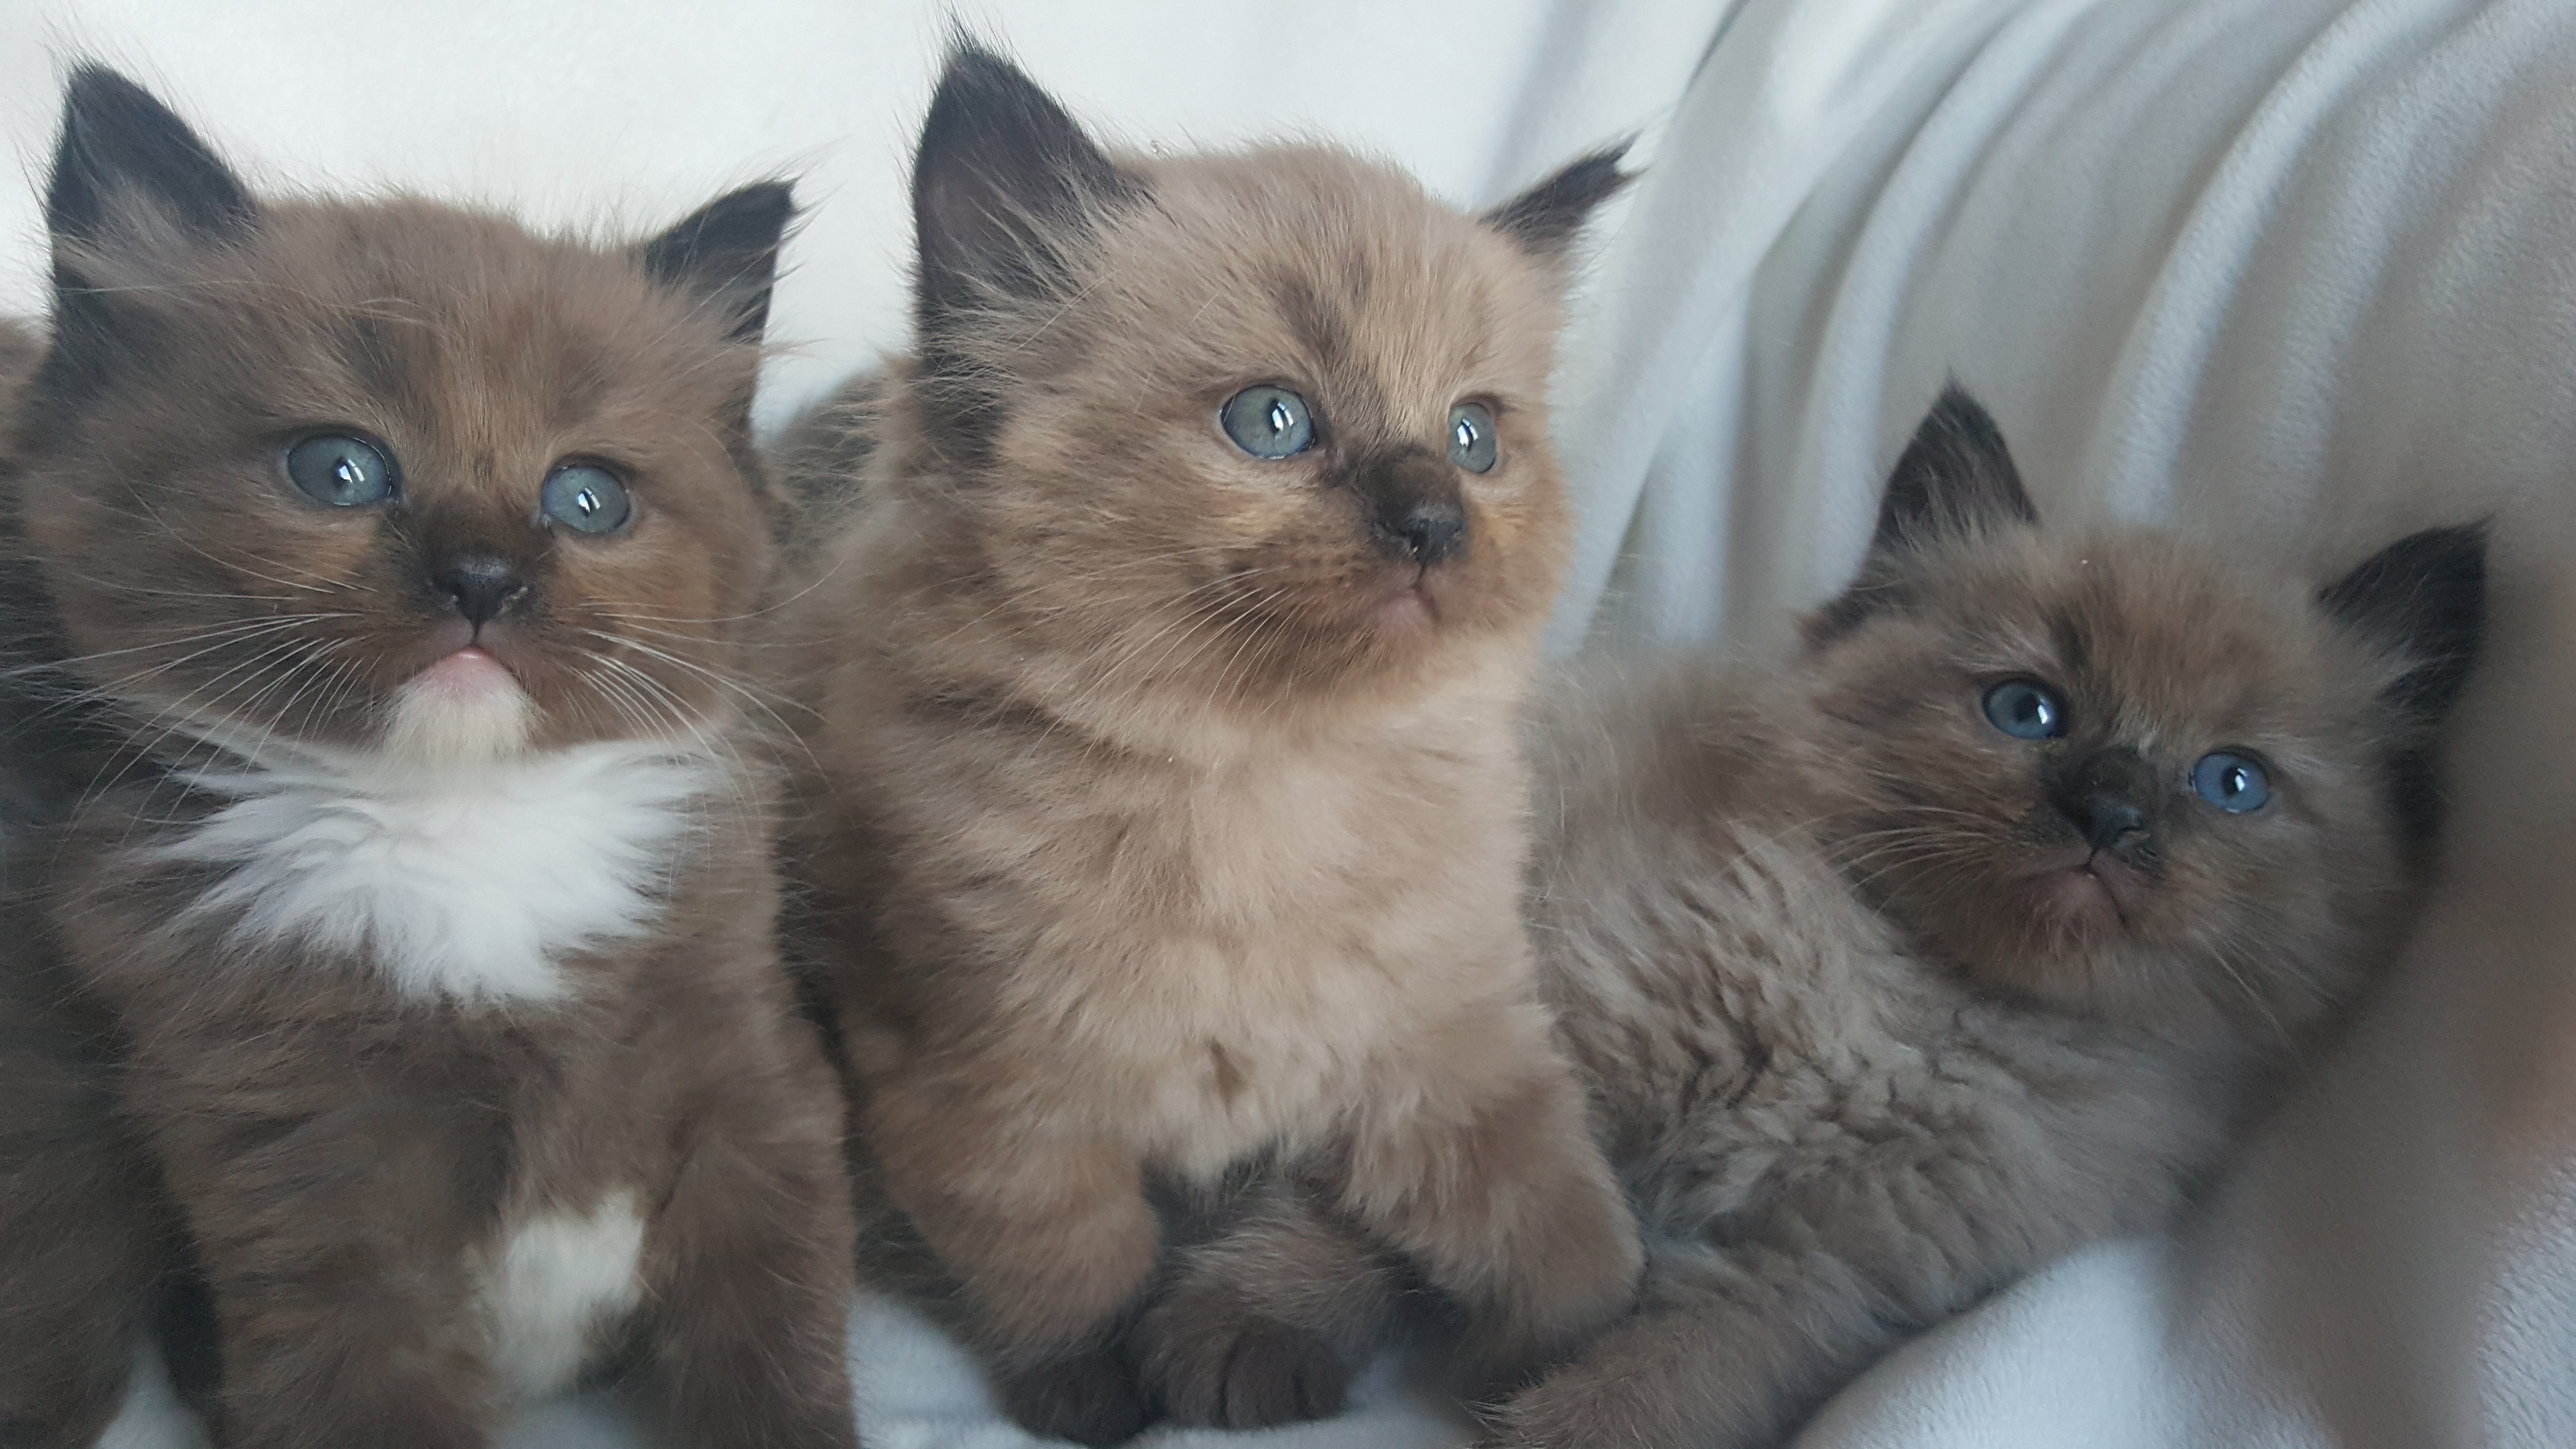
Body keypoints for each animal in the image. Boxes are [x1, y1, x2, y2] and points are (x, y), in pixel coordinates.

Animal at [0, 67, 865, 1444]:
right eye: (339, 468)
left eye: (588, 498)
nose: (482, 578)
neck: (456, 825)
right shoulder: (302, 1178)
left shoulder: (755, 1089)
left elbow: (771, 1360)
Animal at [773, 39, 1638, 1433]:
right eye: (1272, 423)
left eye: (1472, 438)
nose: (1433, 520)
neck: (1270, 784)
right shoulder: (988, 1091)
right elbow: (1071, 1258)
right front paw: (1102, 1393)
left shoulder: (1455, 1047)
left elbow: (1567, 1234)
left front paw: (1553, 1368)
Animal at [1138, 386, 2483, 1444]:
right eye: (2024, 710)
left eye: (2229, 782)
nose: (2106, 811)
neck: (1908, 1007)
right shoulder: (1527, 1044)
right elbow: (1367, 1210)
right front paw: (1251, 1320)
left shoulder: (1808, 1279)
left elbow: (1651, 1395)